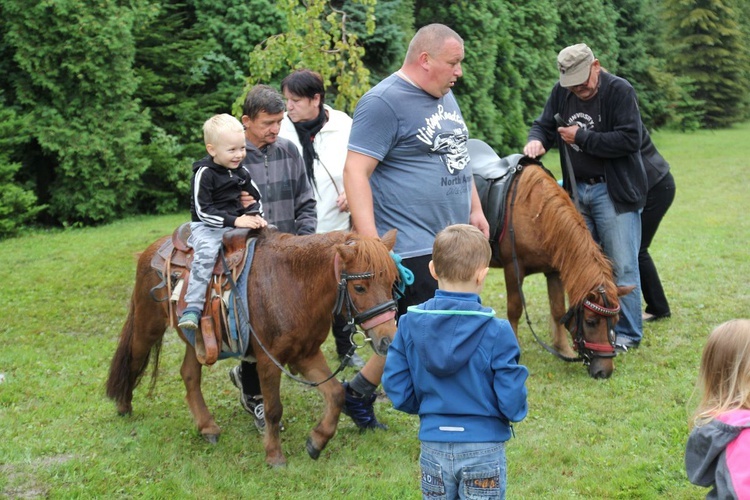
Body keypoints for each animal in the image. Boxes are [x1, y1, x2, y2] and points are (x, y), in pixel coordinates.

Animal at [107, 229, 400, 466]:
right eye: (359, 287)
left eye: (391, 283)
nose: (387, 339)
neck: (292, 284)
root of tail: (152, 250)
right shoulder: (269, 359)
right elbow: (273, 409)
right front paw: (274, 455)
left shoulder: (306, 355)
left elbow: (336, 394)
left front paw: (316, 442)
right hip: (147, 326)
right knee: (133, 358)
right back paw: (123, 406)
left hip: (197, 340)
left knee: (189, 374)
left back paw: (207, 427)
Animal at [470, 139, 636, 376]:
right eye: (591, 321)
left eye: (616, 320)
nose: (604, 372)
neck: (535, 214)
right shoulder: (513, 269)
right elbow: (515, 310)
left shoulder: (554, 271)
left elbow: (558, 310)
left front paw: (563, 349)